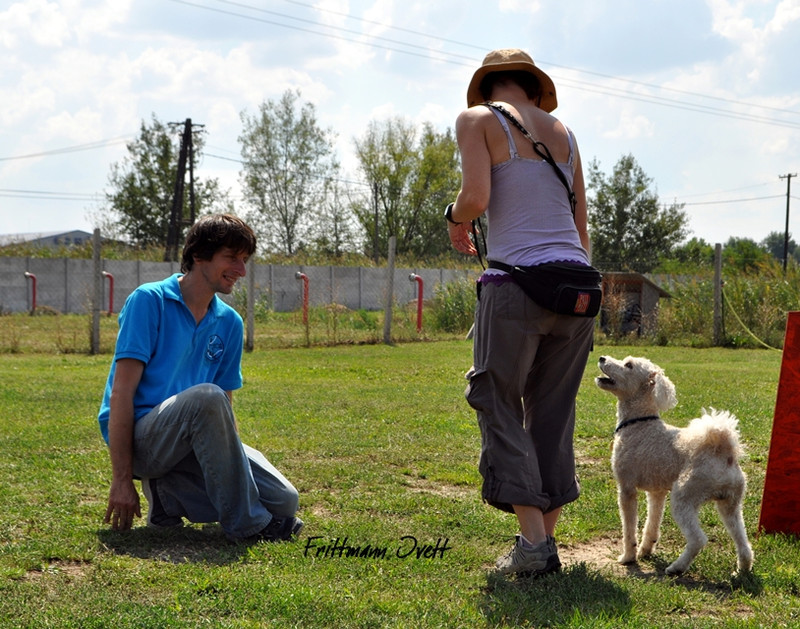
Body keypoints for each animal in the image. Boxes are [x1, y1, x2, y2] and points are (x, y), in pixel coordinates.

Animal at [596, 354, 752, 576]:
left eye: (628, 365)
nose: (602, 357)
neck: (639, 422)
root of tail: (723, 450)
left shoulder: (626, 489)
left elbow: (629, 528)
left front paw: (628, 557)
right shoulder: (657, 492)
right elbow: (652, 523)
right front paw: (645, 551)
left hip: (683, 498)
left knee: (698, 539)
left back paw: (677, 567)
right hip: (731, 504)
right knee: (743, 541)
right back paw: (742, 570)